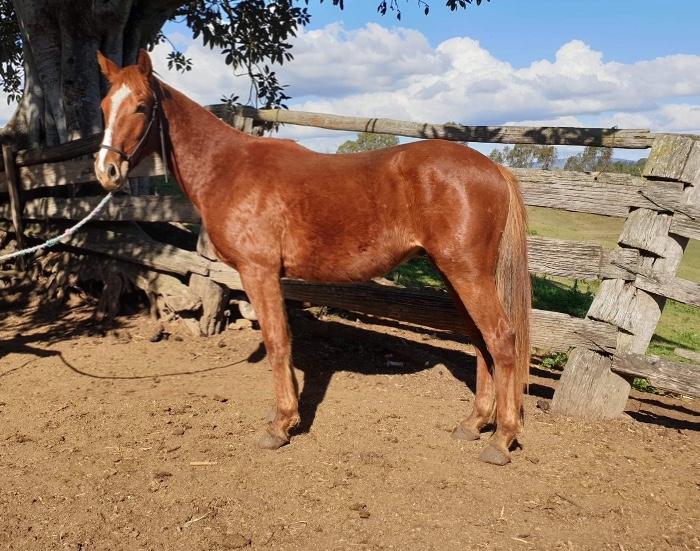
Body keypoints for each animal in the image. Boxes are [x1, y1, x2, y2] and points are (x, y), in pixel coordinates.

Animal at [94, 49, 531, 466]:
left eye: (142, 106)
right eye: (104, 105)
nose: (106, 171)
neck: (228, 169)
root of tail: (493, 168)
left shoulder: (259, 272)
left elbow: (277, 341)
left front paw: (281, 425)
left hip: (467, 273)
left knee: (501, 338)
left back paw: (501, 439)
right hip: (455, 274)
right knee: (481, 341)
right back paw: (474, 423)